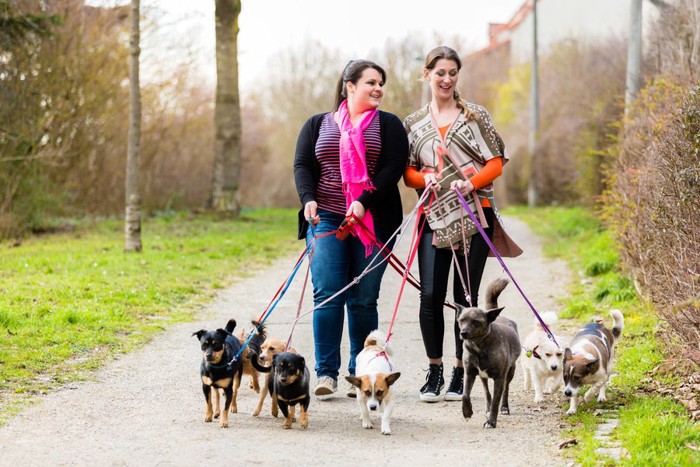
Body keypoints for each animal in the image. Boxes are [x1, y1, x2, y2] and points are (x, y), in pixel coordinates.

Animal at [456, 280, 524, 430]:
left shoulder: (499, 378)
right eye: (461, 320)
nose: (463, 333)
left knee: (505, 389)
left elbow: (496, 402)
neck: (479, 347)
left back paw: (504, 407)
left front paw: (491, 422)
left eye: (476, 322)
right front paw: (467, 412)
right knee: (487, 393)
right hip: (483, 377)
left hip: (510, 372)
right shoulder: (469, 373)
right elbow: (465, 395)